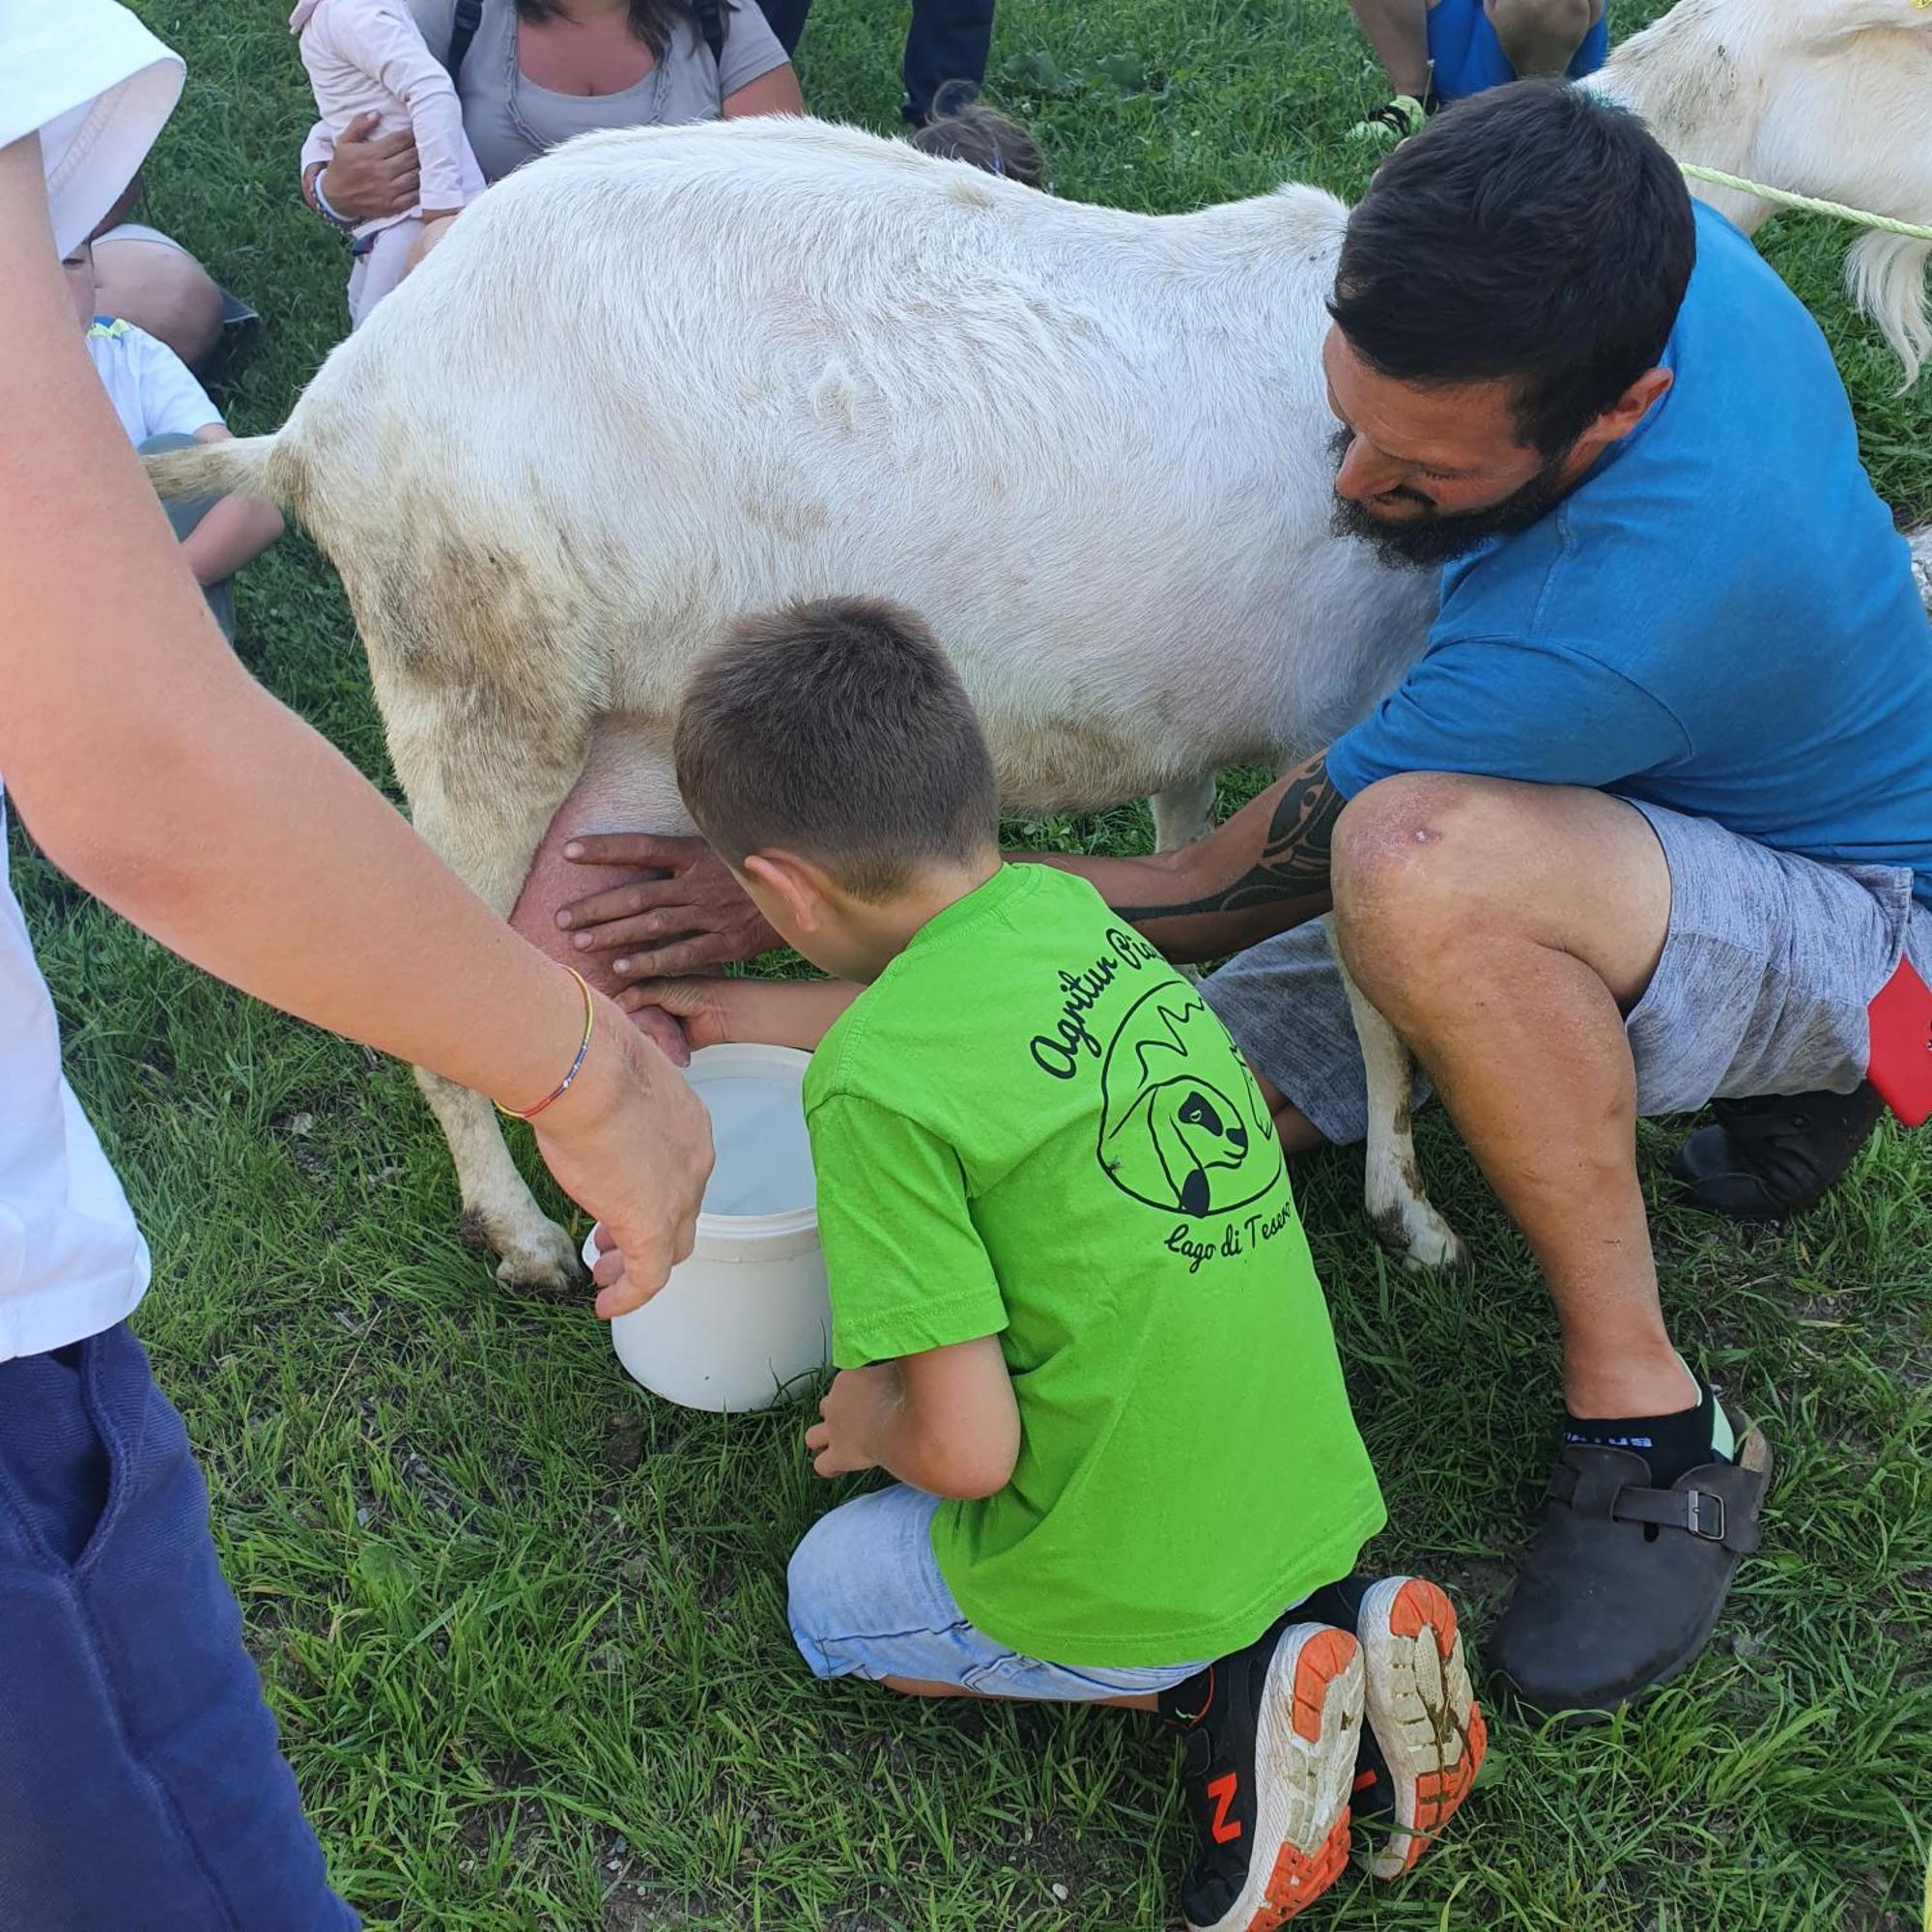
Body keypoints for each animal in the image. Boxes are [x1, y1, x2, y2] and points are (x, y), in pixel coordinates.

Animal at [151, 3, 1932, 1298]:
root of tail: (316, 427)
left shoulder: (1220, 732)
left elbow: (1196, 855)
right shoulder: (1369, 707)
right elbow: (1370, 979)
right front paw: (1408, 1212)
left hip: (619, 736)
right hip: (477, 683)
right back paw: (520, 1237)